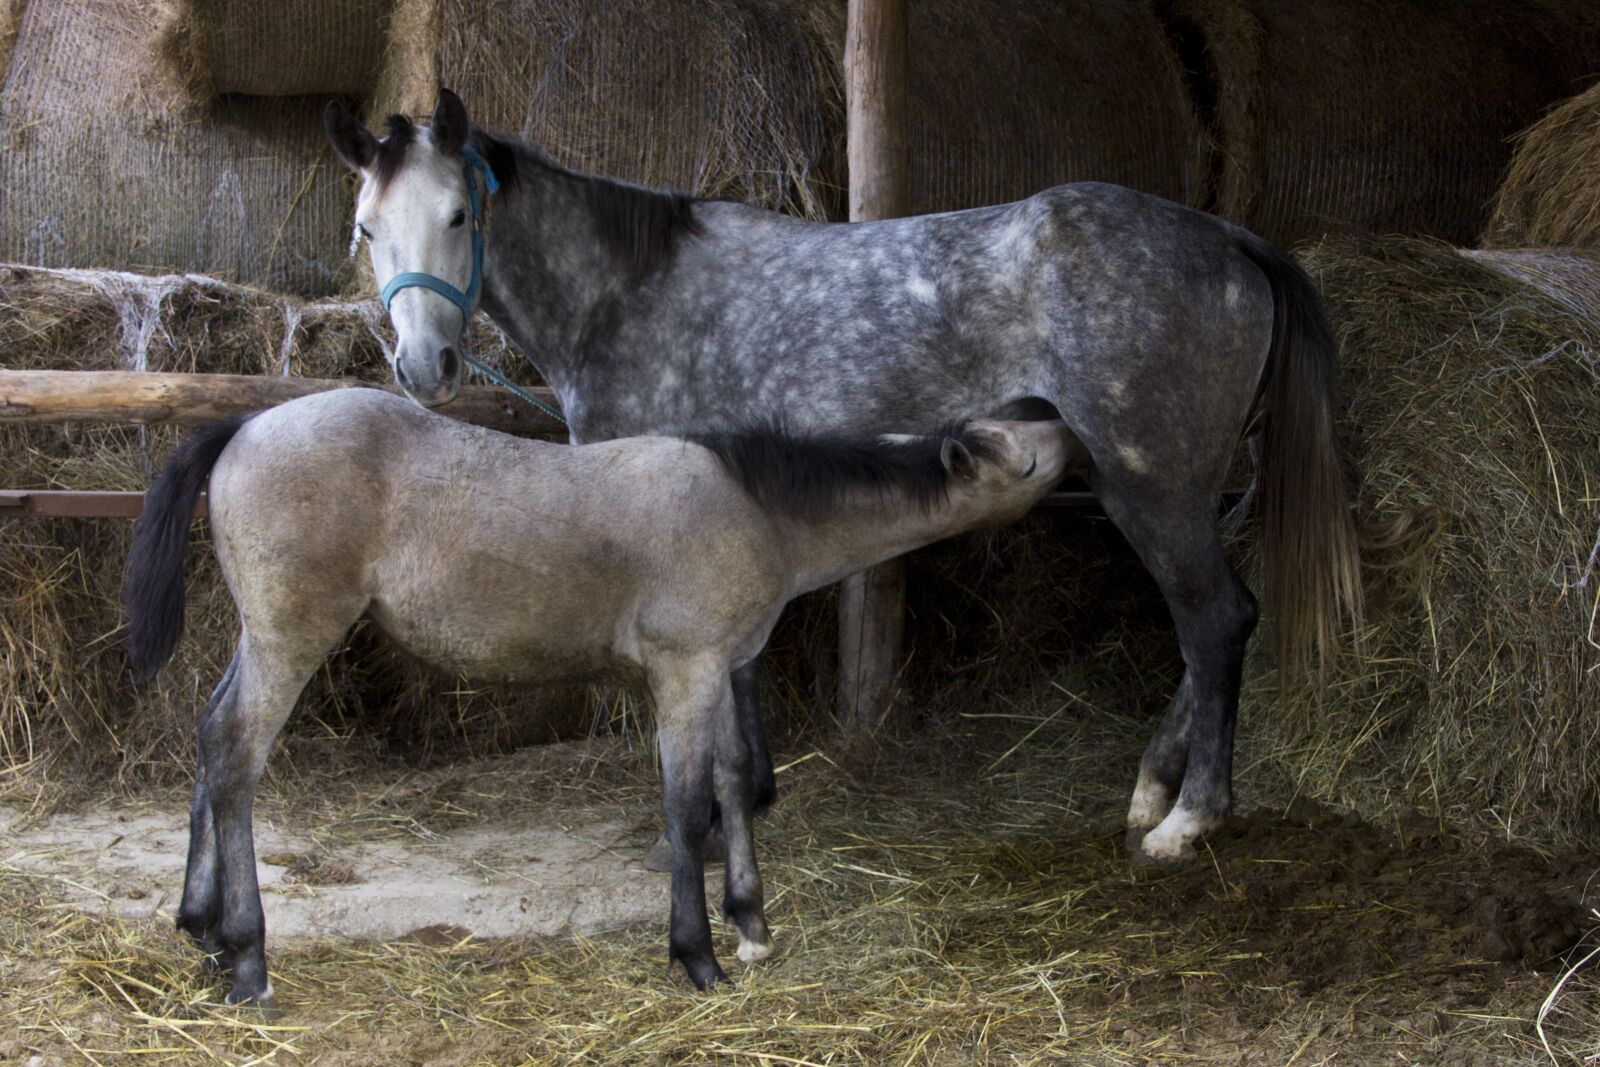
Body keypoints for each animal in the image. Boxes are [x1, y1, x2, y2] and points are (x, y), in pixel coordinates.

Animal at [123, 387, 1080, 1008]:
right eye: (1019, 454)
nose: (1058, 407)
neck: (753, 505)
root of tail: (246, 424)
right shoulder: (685, 669)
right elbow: (686, 803)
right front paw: (698, 957)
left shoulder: (721, 667)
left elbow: (735, 781)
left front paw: (751, 923)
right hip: (291, 635)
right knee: (236, 753)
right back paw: (248, 957)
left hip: (259, 636)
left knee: (209, 736)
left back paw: (200, 927)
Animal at [323, 90, 1363, 866]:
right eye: (366, 228)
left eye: (460, 214)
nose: (424, 367)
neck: (631, 297)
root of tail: (1232, 239)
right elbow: (740, 670)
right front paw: (750, 797)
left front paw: (704, 825)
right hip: (1164, 491)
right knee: (1212, 626)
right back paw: (1151, 789)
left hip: (1154, 489)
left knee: (1216, 621)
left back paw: (1189, 819)